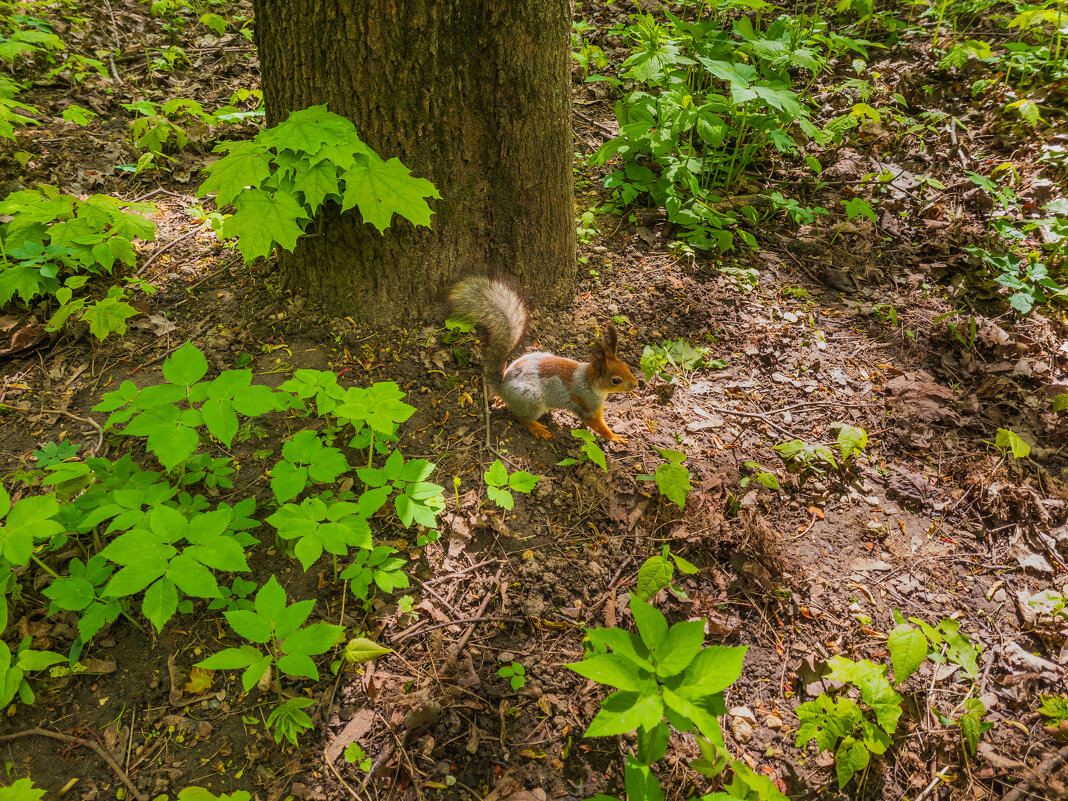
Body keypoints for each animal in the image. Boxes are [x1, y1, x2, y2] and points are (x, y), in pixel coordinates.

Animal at [448, 277, 636, 446]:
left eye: (626, 366)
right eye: (616, 380)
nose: (636, 384)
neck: (590, 380)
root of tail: (502, 386)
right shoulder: (587, 405)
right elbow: (597, 425)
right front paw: (615, 437)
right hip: (532, 401)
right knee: (522, 419)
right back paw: (538, 428)